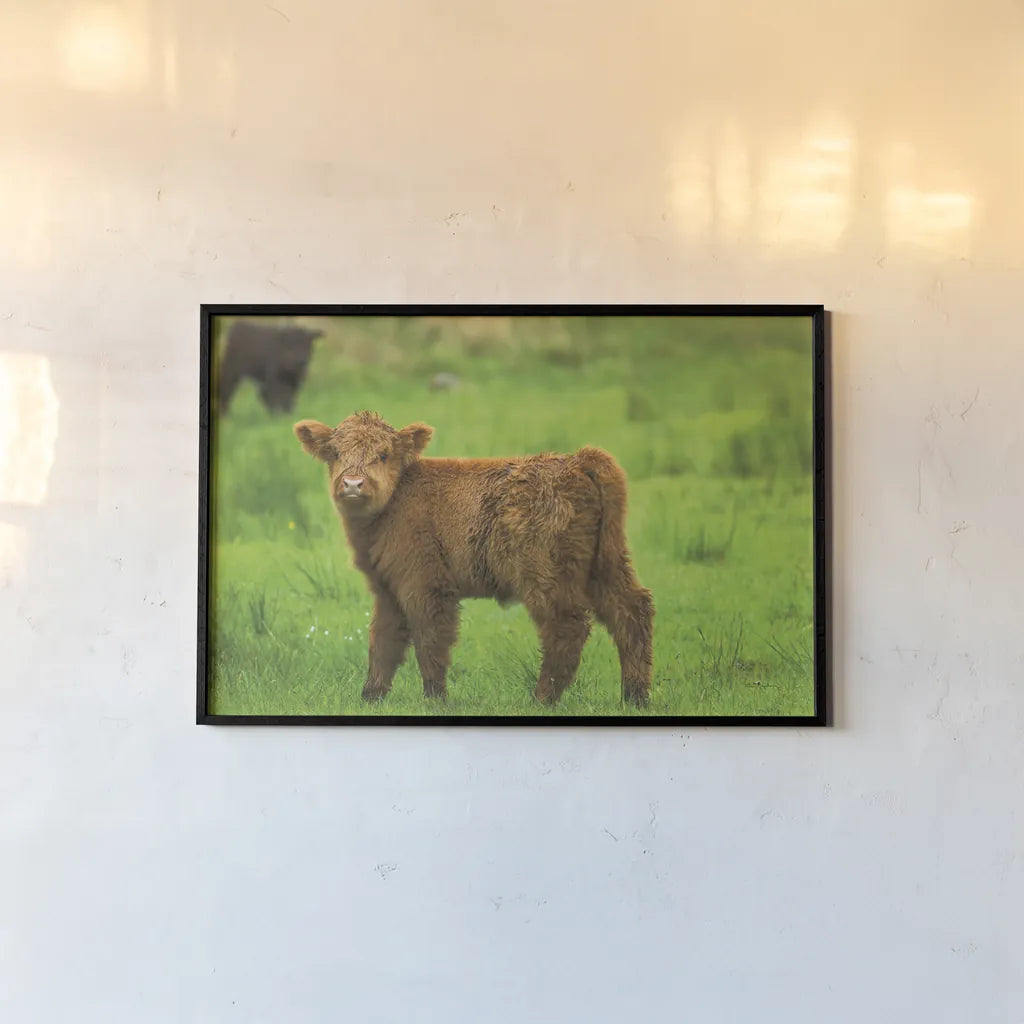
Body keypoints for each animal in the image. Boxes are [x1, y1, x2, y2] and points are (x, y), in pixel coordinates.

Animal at [294, 411, 654, 706]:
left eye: (383, 454)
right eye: (335, 453)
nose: (353, 484)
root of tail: (577, 460)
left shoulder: (425, 584)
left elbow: (430, 641)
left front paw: (435, 699)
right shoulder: (388, 588)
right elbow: (382, 641)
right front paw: (370, 696)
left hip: (546, 574)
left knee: (567, 626)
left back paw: (542, 699)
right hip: (606, 564)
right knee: (631, 611)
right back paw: (634, 697)